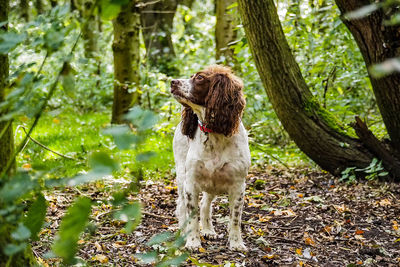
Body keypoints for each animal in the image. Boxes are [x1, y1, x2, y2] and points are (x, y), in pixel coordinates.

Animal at [170, 65, 250, 251]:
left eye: (199, 78)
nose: (172, 81)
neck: (214, 132)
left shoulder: (238, 185)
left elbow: (235, 218)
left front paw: (236, 243)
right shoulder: (191, 183)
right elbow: (192, 216)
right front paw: (193, 242)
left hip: (212, 185)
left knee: (206, 205)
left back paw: (208, 230)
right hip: (182, 176)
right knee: (181, 206)